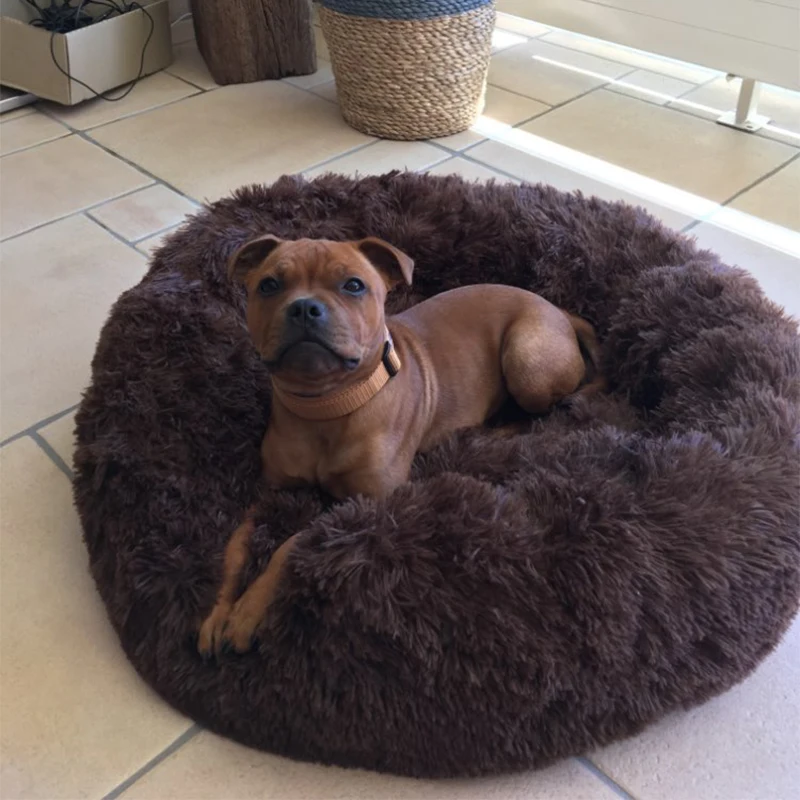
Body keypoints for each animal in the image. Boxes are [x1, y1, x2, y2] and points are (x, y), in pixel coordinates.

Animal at [197, 235, 603, 657]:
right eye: (269, 286)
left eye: (353, 285)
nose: (305, 307)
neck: (326, 405)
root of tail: (557, 309)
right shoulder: (268, 493)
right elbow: (235, 549)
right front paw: (219, 611)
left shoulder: (361, 503)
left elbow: (291, 543)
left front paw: (248, 611)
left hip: (527, 361)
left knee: (545, 412)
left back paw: (498, 432)